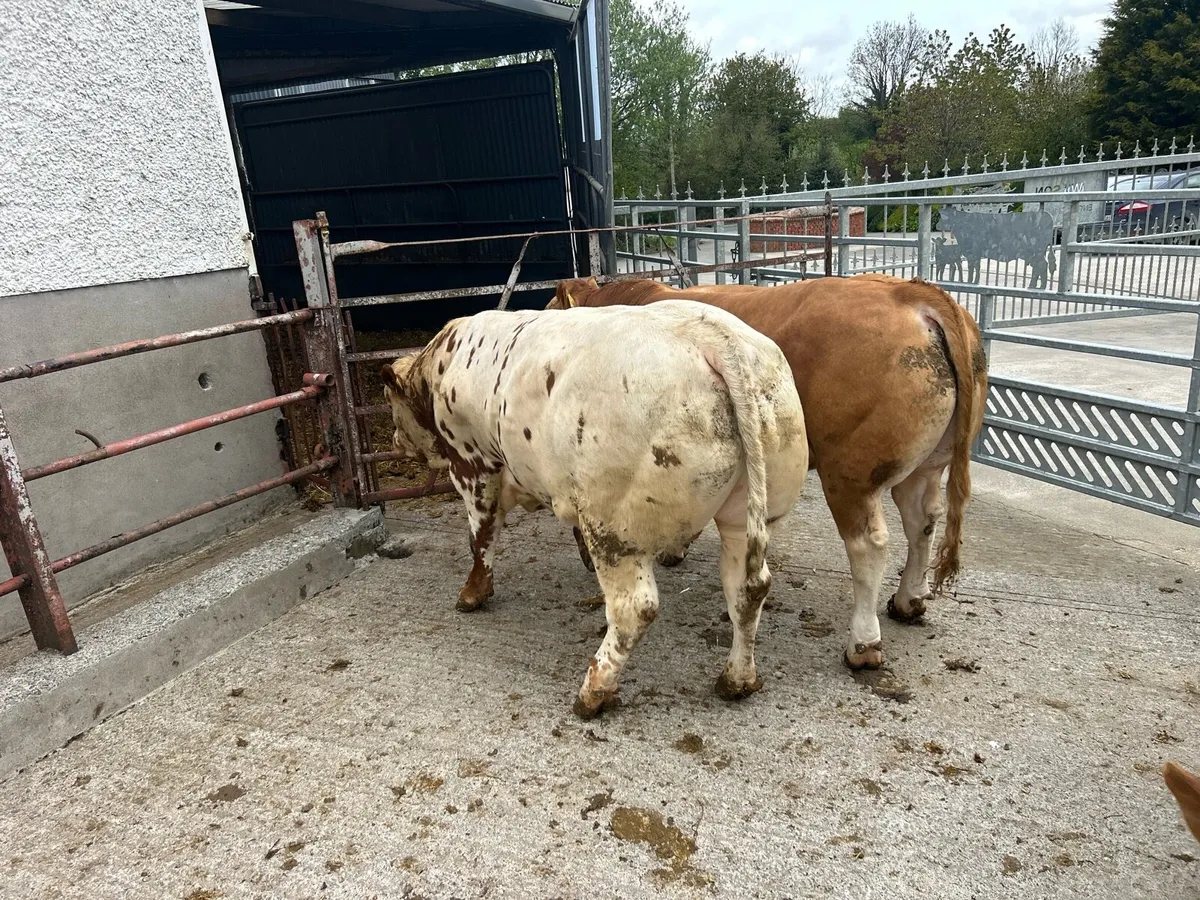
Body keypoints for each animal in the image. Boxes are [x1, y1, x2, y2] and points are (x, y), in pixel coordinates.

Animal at [381, 302, 809, 718]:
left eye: (390, 402)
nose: (396, 441)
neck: (443, 367)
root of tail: (712, 335)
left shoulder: (472, 464)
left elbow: (481, 536)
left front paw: (472, 593)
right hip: (749, 515)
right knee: (748, 589)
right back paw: (737, 679)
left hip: (616, 526)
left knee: (634, 609)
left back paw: (594, 692)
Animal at [548, 274, 986, 671]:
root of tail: (913, 293)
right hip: (927, 466)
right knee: (922, 520)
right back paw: (909, 600)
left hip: (850, 476)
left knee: (869, 546)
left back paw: (863, 645)